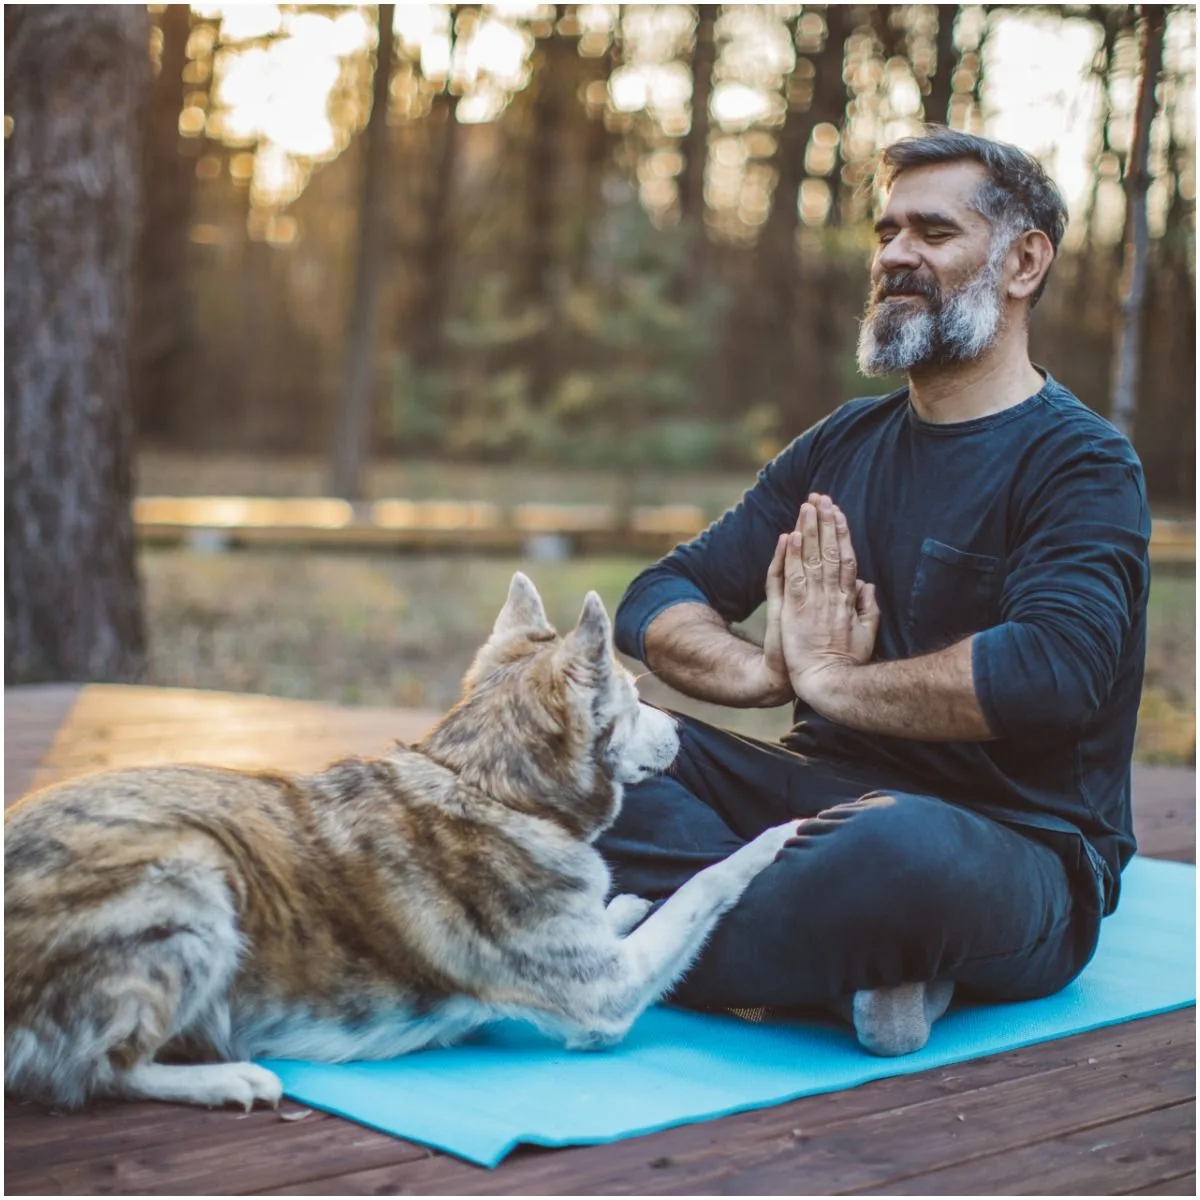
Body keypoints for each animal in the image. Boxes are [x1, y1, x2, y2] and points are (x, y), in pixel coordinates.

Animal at [7, 576, 806, 1108]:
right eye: (637, 699)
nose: (680, 734)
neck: (487, 784)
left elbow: (625, 914)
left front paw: (624, 905)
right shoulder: (603, 1000)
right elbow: (706, 881)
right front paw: (778, 835)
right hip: (192, 878)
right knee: (96, 1072)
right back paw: (226, 1078)